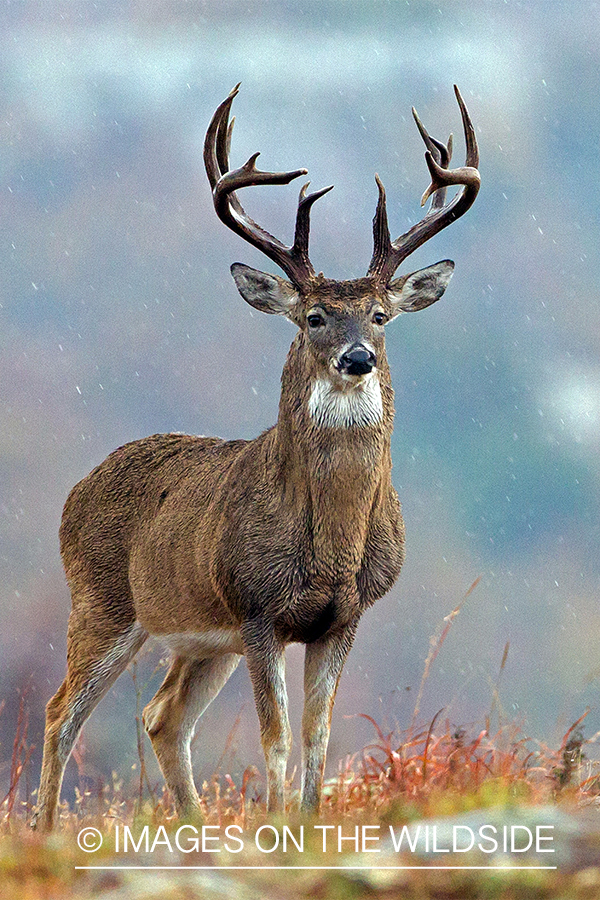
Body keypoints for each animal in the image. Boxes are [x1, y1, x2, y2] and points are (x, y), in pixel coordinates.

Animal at [32, 84, 480, 828]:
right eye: (314, 317)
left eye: (381, 316)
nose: (358, 358)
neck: (331, 546)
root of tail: (74, 492)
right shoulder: (258, 608)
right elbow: (274, 738)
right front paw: (276, 825)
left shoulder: (342, 617)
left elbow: (318, 734)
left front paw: (308, 824)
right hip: (103, 600)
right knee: (60, 712)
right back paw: (42, 831)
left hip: (200, 636)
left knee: (162, 717)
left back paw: (193, 829)